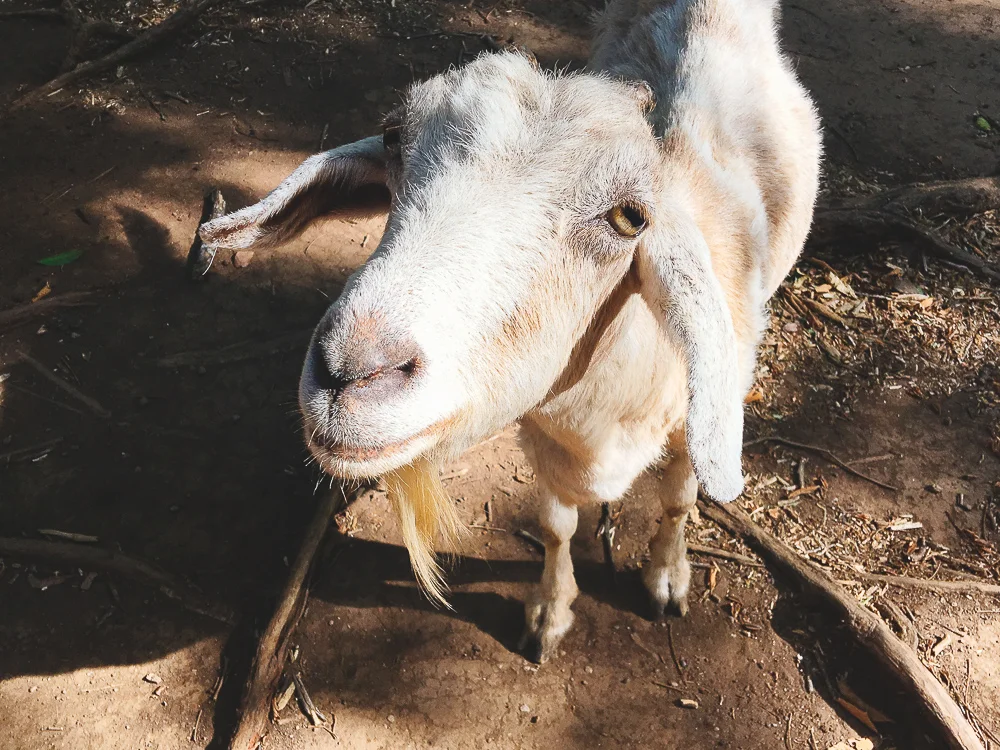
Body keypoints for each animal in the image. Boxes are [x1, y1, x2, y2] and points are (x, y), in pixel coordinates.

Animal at [200, 0, 822, 663]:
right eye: (393, 139)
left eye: (630, 217)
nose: (352, 371)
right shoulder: (537, 433)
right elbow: (554, 526)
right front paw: (549, 612)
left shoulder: (689, 424)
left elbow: (680, 498)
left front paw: (667, 578)